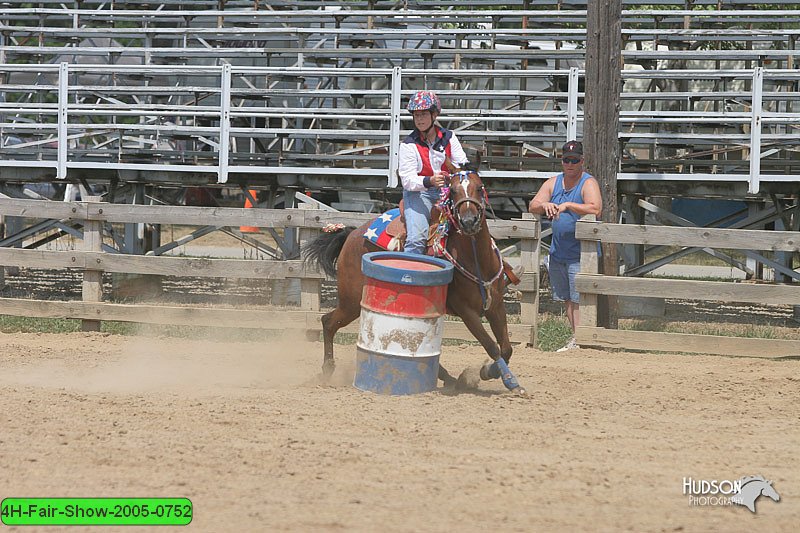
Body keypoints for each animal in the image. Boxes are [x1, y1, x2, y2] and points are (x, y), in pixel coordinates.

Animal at [304, 166, 528, 394]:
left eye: (480, 187)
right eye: (453, 190)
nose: (469, 222)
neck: (477, 260)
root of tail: (352, 234)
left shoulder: (496, 306)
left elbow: (506, 348)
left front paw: (492, 373)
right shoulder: (467, 312)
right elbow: (491, 346)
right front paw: (503, 378)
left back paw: (448, 378)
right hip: (351, 301)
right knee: (328, 322)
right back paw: (327, 369)